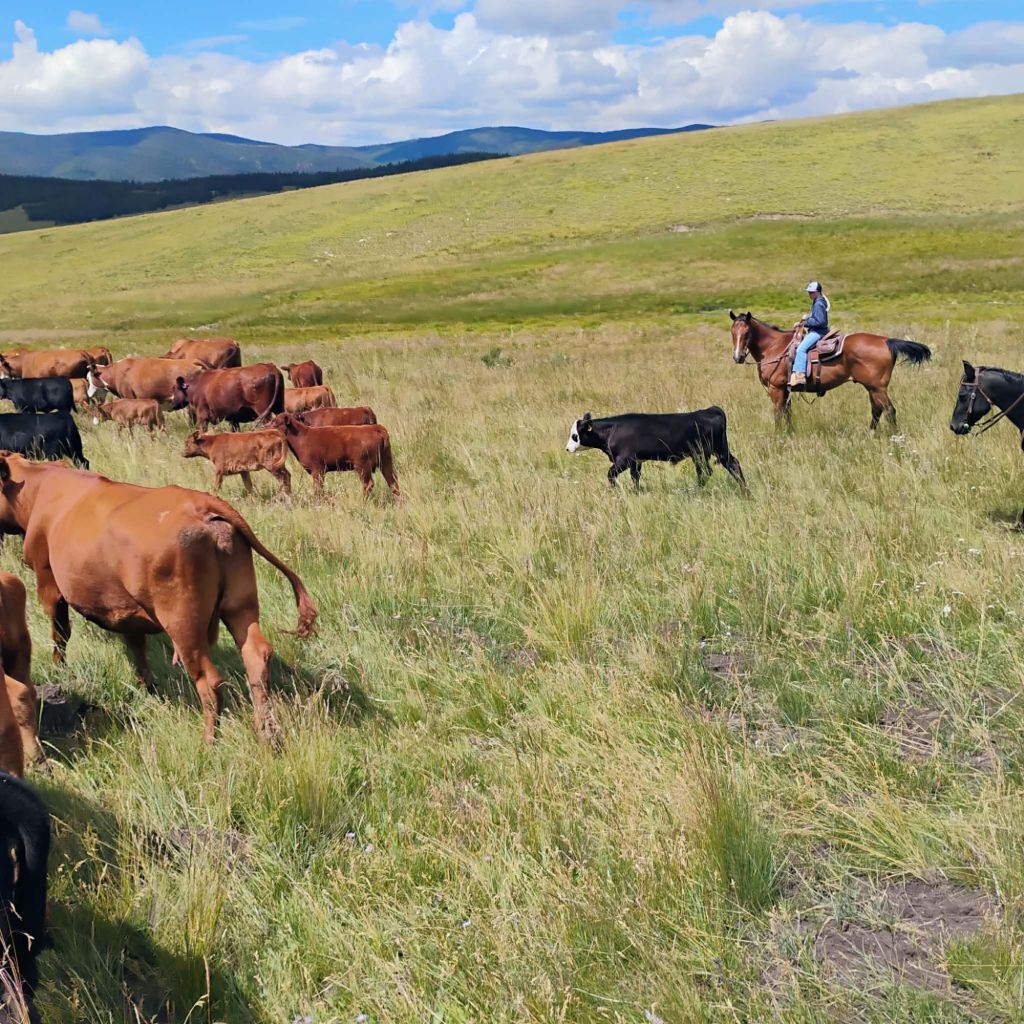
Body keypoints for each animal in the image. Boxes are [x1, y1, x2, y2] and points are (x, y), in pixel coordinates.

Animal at [0, 453, 317, 745]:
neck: (42, 485)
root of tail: (201, 505)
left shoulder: (48, 583)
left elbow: (60, 632)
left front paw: (59, 666)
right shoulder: (124, 609)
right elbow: (136, 646)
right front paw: (148, 689)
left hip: (182, 622)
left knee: (209, 681)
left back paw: (209, 742)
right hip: (240, 604)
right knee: (256, 656)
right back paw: (268, 734)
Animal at [270, 414, 400, 500]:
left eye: (276, 422)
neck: (302, 436)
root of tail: (375, 428)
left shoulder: (318, 470)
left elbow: (318, 489)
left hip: (362, 465)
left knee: (368, 484)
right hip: (386, 461)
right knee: (393, 482)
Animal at [565, 408, 747, 491]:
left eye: (574, 435)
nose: (567, 449)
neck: (612, 430)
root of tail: (711, 410)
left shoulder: (624, 460)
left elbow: (610, 474)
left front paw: (615, 490)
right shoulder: (636, 461)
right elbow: (635, 477)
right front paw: (636, 492)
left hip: (704, 453)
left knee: (706, 471)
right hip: (718, 450)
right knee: (732, 464)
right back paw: (745, 490)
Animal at [729, 311, 931, 428]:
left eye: (746, 333)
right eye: (732, 332)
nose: (738, 357)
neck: (774, 347)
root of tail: (886, 341)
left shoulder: (776, 389)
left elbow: (778, 415)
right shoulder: (786, 390)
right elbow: (787, 414)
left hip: (877, 388)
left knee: (889, 411)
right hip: (872, 388)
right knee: (877, 411)